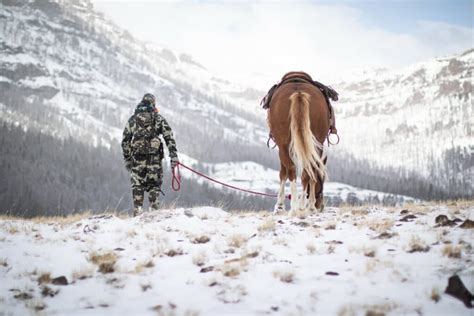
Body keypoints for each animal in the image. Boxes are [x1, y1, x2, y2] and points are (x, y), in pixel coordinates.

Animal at [266, 71, 330, 214]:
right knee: (308, 170)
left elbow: (283, 173)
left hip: (283, 144)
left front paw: (279, 205)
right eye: (322, 179)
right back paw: (303, 205)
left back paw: (298, 206)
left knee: (292, 170)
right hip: (315, 140)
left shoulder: (281, 147)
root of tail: (299, 92)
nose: (321, 206)